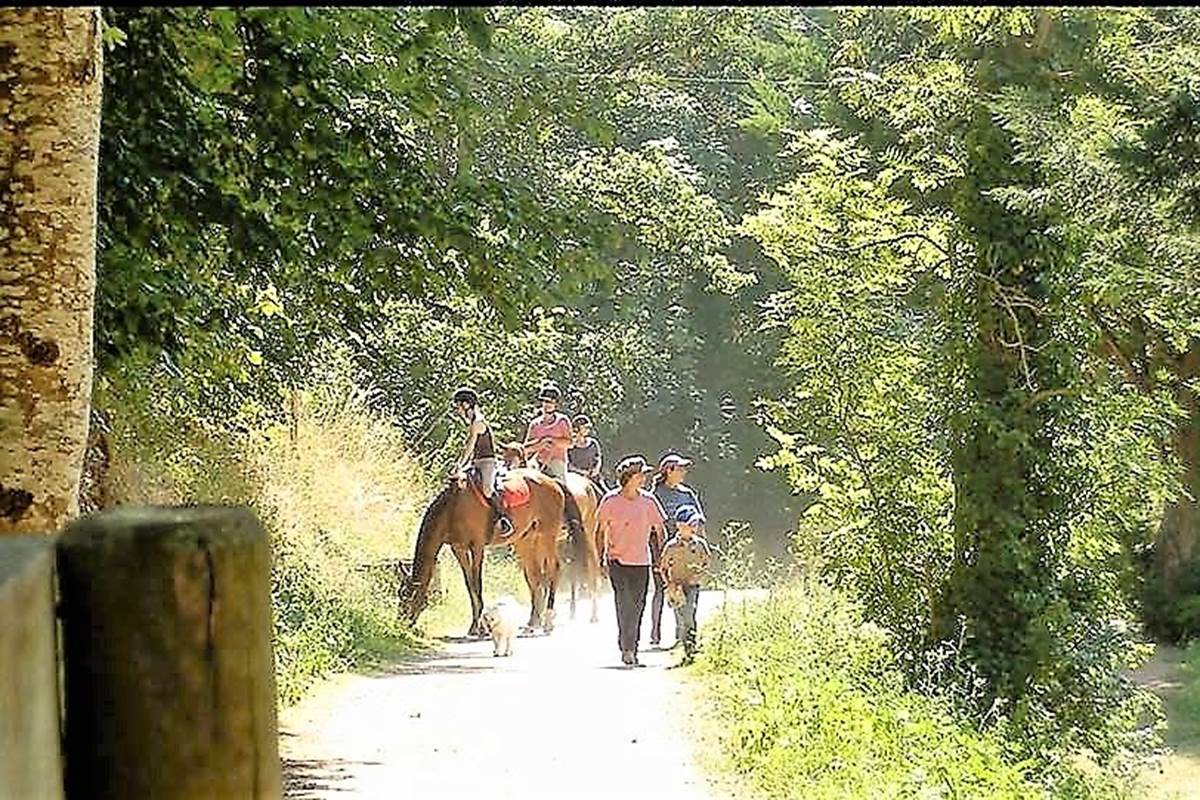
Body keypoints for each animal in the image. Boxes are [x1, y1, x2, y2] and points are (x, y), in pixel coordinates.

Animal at [403, 470, 585, 638]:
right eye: (401, 595)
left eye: (410, 597)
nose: (403, 624)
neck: (454, 506)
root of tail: (552, 481)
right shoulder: (458, 549)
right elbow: (469, 585)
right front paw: (475, 626)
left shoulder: (477, 547)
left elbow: (477, 584)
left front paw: (479, 627)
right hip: (526, 540)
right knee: (535, 577)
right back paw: (533, 623)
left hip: (546, 536)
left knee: (554, 569)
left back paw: (547, 622)